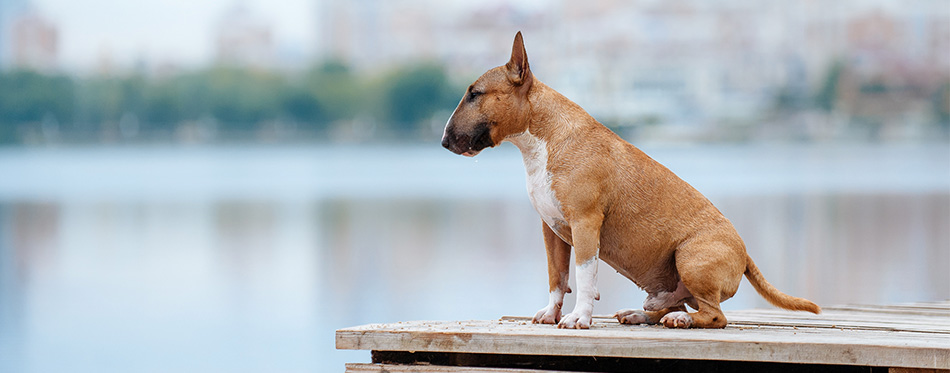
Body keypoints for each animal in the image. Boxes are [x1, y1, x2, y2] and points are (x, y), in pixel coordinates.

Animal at [442, 32, 820, 328]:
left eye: (475, 94)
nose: (444, 141)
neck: (542, 140)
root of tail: (745, 252)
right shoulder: (552, 230)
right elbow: (557, 276)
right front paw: (550, 313)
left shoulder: (586, 223)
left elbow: (584, 274)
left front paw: (578, 318)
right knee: (673, 303)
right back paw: (642, 314)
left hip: (691, 256)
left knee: (715, 315)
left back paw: (680, 319)